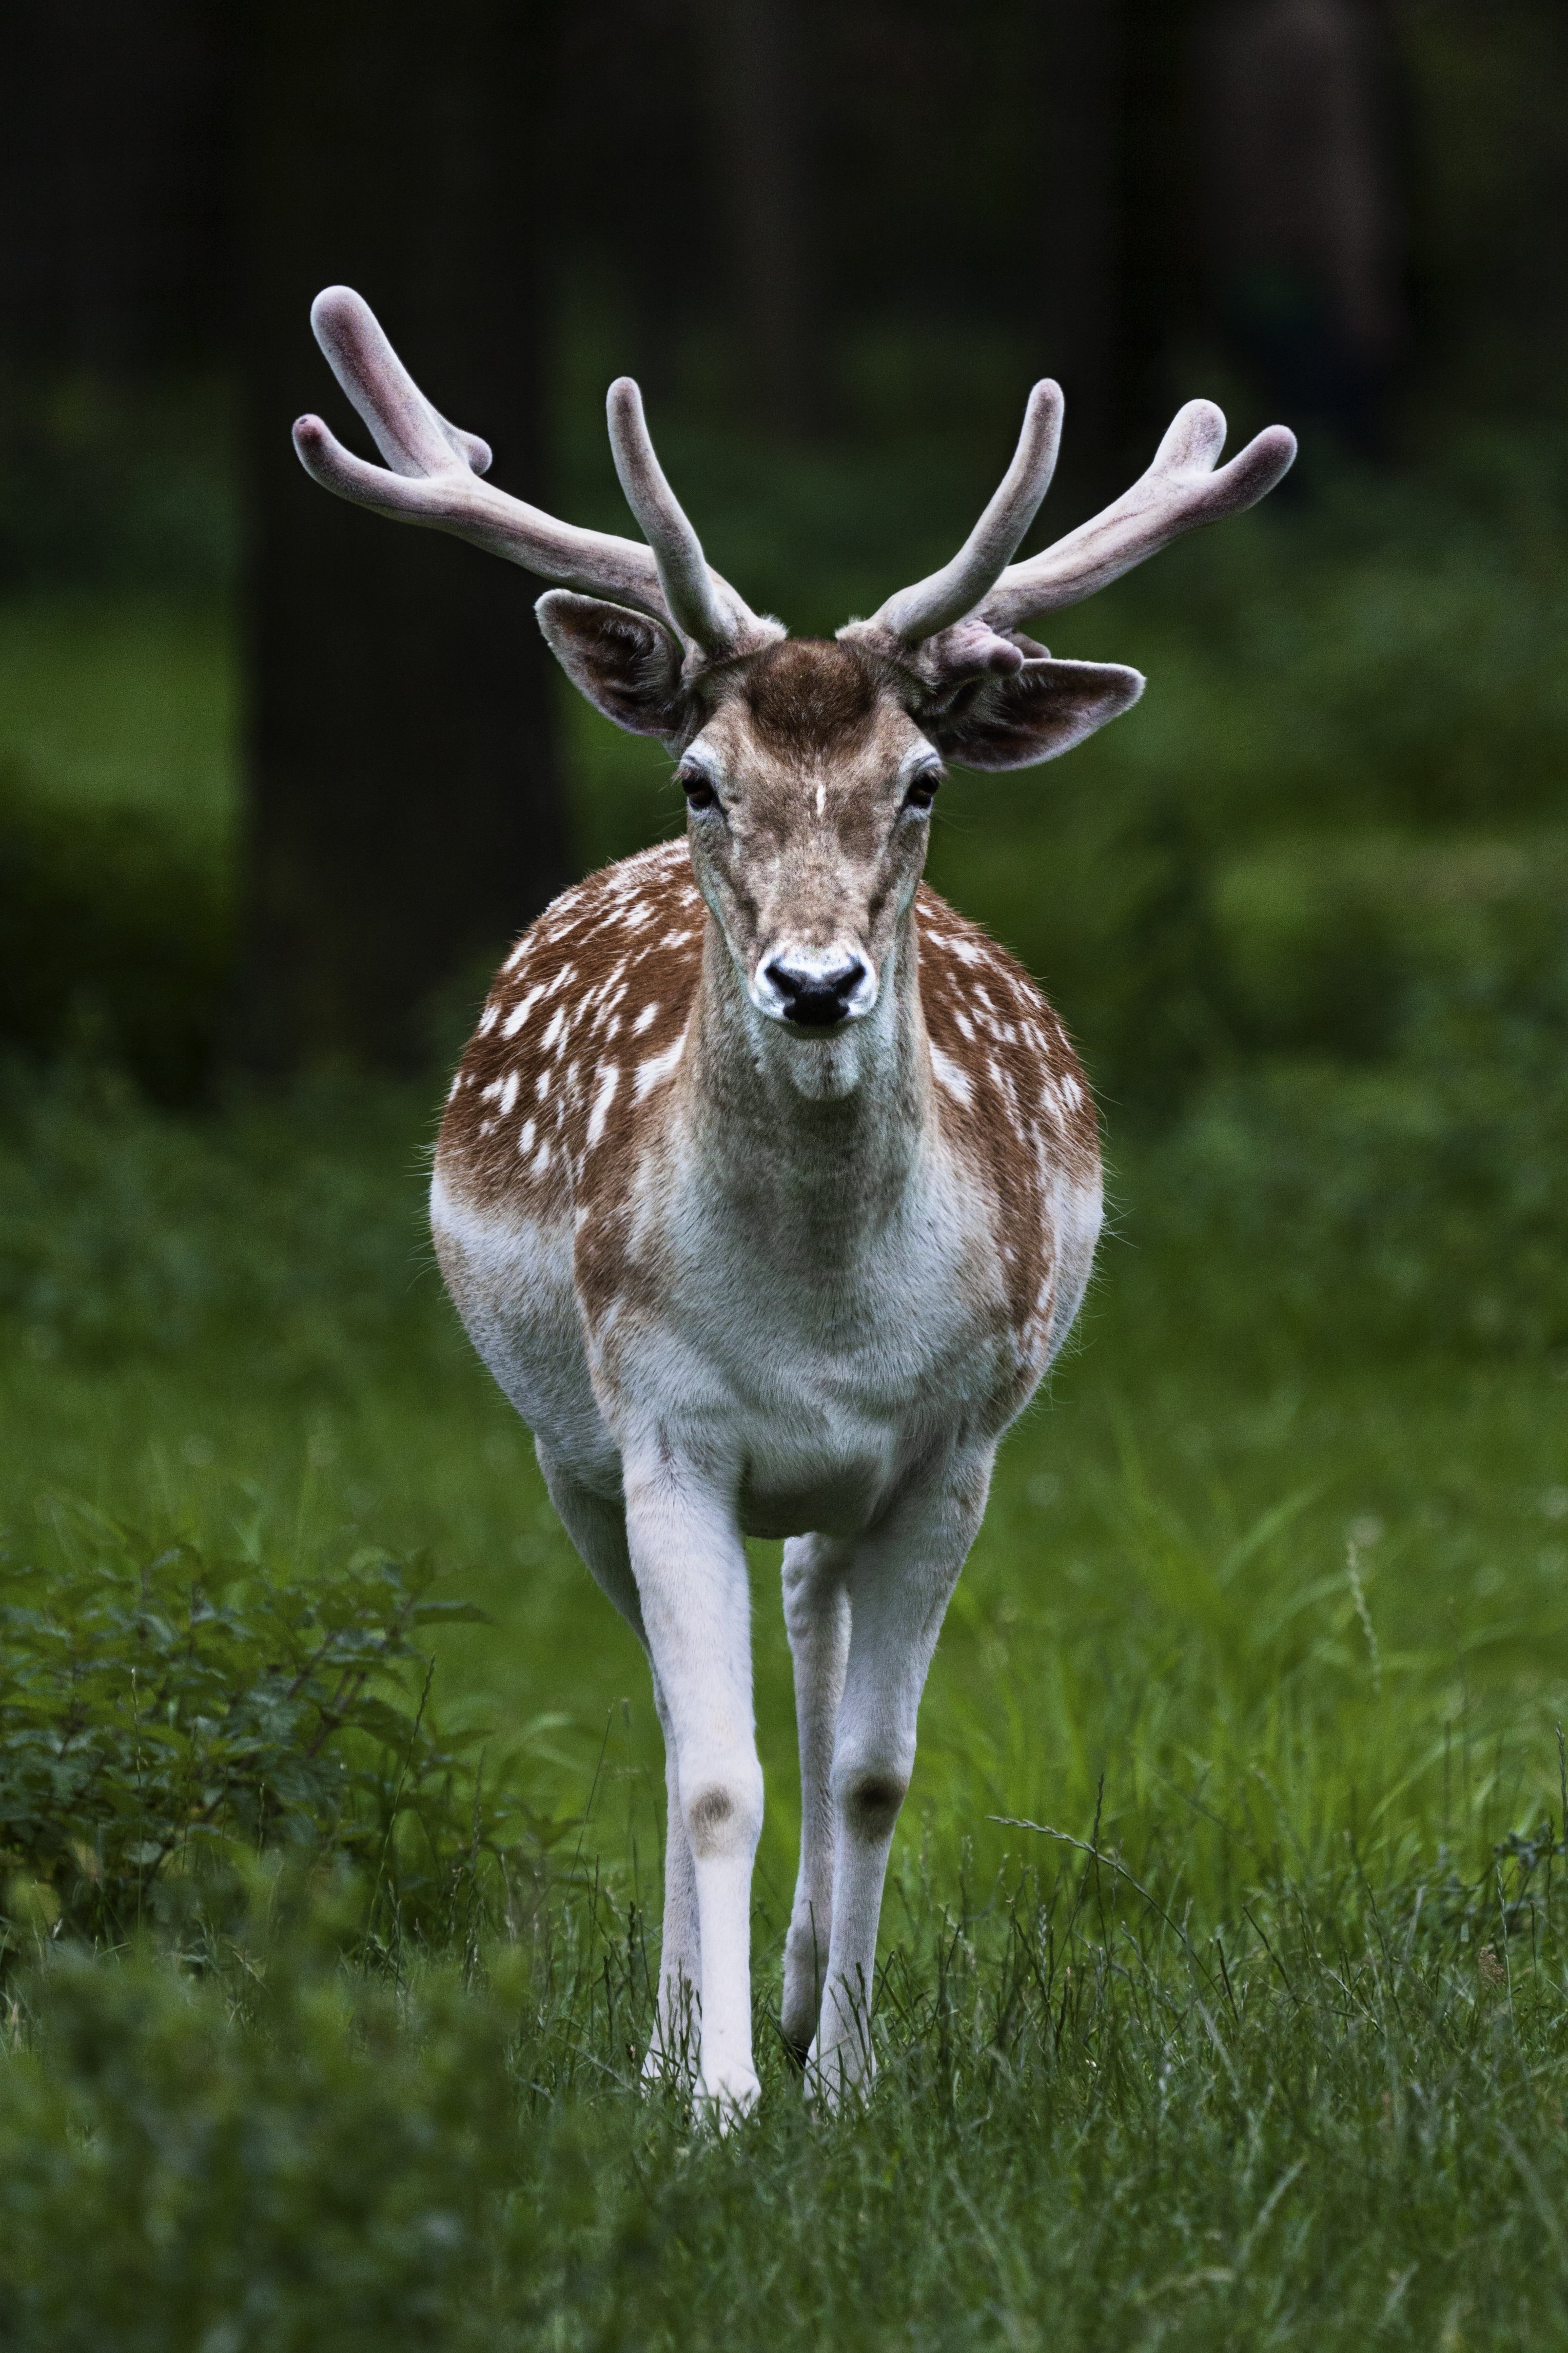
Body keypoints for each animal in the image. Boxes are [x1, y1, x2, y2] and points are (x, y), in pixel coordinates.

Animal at [293, 289, 1298, 2117]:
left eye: (922, 779)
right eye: (702, 776)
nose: (817, 983)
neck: (821, 1311)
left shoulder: (954, 1446)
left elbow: (874, 1771)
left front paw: (847, 2080)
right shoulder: (661, 1426)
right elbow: (713, 1771)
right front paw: (710, 2099)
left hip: (845, 1480)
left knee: (818, 1650)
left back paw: (808, 1987)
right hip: (567, 1451)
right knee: (688, 1705)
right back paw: (678, 2031)